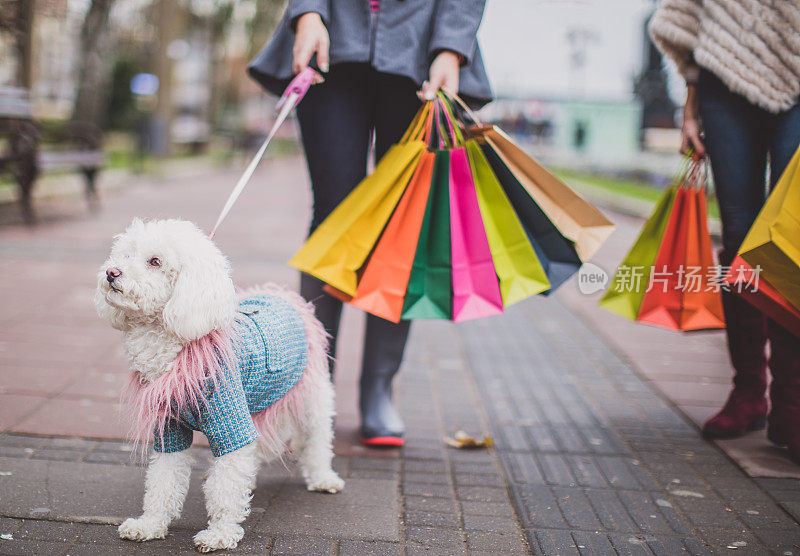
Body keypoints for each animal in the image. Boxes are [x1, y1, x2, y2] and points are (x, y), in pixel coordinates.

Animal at [94, 219, 344, 552]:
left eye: (155, 261)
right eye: (124, 254)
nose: (111, 272)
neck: (175, 350)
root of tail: (283, 295)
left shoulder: (229, 420)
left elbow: (225, 486)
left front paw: (220, 534)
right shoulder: (169, 427)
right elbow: (163, 480)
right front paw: (151, 524)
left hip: (311, 394)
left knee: (317, 438)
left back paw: (323, 478)